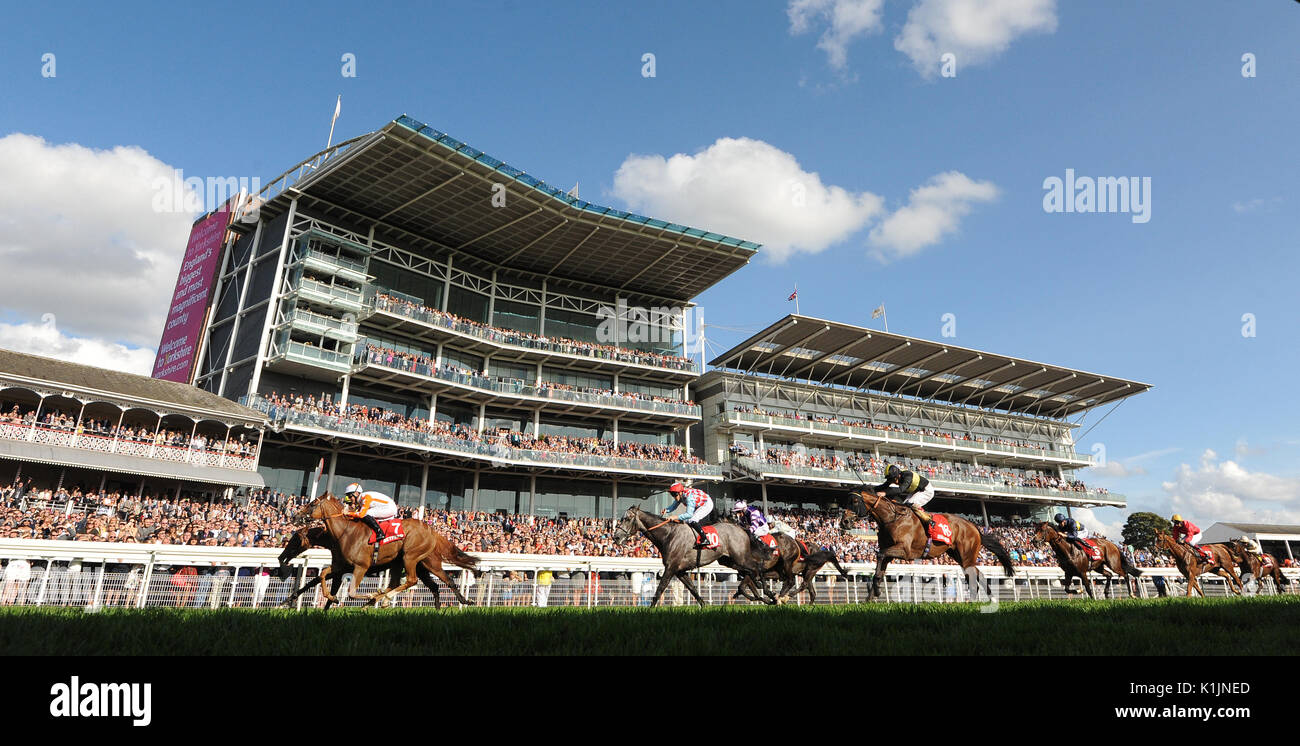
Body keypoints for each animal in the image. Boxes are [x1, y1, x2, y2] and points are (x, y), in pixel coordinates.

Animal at [295, 496, 483, 608]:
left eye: (312, 504)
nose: (297, 516)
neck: (346, 531)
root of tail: (431, 530)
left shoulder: (361, 566)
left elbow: (352, 592)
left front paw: (371, 596)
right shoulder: (342, 565)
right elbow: (322, 574)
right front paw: (332, 597)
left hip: (412, 558)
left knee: (414, 580)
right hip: (418, 564)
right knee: (436, 583)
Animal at [611, 506, 769, 610]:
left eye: (627, 518)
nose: (616, 537)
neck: (668, 534)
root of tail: (741, 528)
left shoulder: (671, 567)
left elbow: (660, 588)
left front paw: (650, 608)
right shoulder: (680, 570)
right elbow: (692, 588)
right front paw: (704, 605)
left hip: (740, 557)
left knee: (756, 567)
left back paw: (765, 591)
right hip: (730, 561)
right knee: (750, 571)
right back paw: (761, 595)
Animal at [842, 491, 1013, 603]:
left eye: (855, 502)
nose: (844, 521)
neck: (891, 518)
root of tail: (975, 528)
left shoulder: (904, 550)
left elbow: (880, 555)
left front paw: (876, 592)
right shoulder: (890, 552)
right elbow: (879, 567)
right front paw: (870, 597)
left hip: (966, 556)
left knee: (974, 575)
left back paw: (980, 599)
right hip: (959, 556)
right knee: (977, 575)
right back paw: (983, 599)